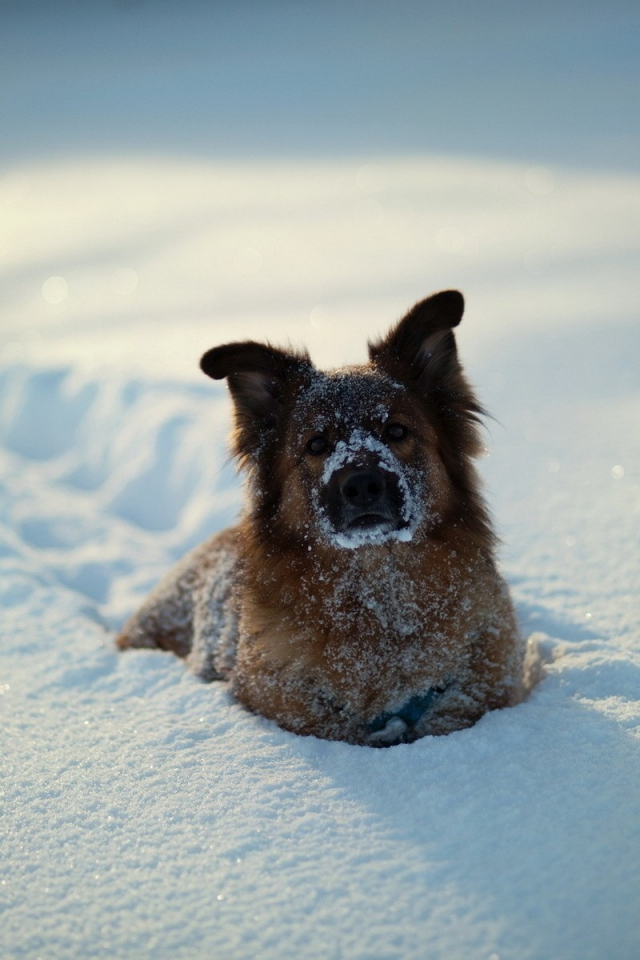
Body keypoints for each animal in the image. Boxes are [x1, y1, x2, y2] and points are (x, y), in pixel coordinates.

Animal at [117, 288, 528, 748]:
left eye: (397, 431)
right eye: (316, 444)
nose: (362, 484)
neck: (376, 596)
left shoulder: (489, 675)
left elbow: (456, 712)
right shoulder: (279, 693)